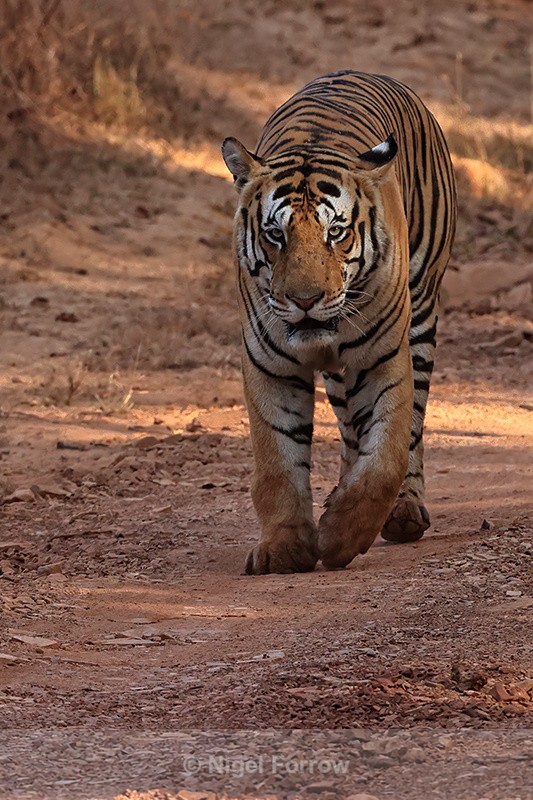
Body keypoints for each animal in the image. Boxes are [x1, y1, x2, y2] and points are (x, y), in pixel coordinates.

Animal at [222, 70, 457, 574]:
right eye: (275, 234)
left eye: (336, 232)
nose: (305, 300)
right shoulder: (270, 364)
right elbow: (277, 459)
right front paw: (284, 548)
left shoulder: (384, 359)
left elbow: (385, 457)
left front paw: (338, 538)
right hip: (337, 371)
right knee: (350, 427)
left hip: (422, 312)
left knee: (410, 427)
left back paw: (404, 512)